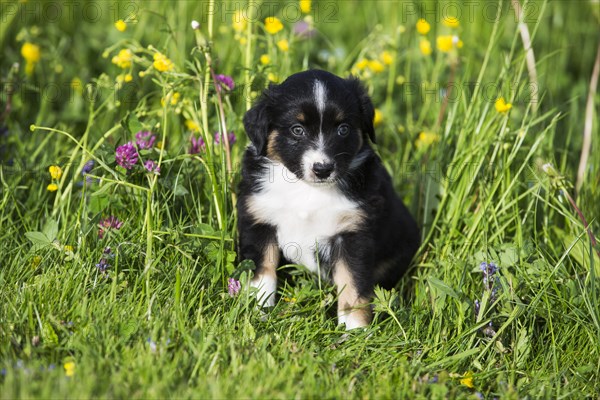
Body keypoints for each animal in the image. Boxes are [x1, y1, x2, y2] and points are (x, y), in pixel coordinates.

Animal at [237, 70, 420, 330]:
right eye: (297, 129)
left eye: (343, 129)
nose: (323, 169)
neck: (307, 190)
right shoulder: (259, 220)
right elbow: (262, 274)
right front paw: (257, 312)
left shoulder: (353, 234)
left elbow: (353, 286)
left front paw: (355, 331)